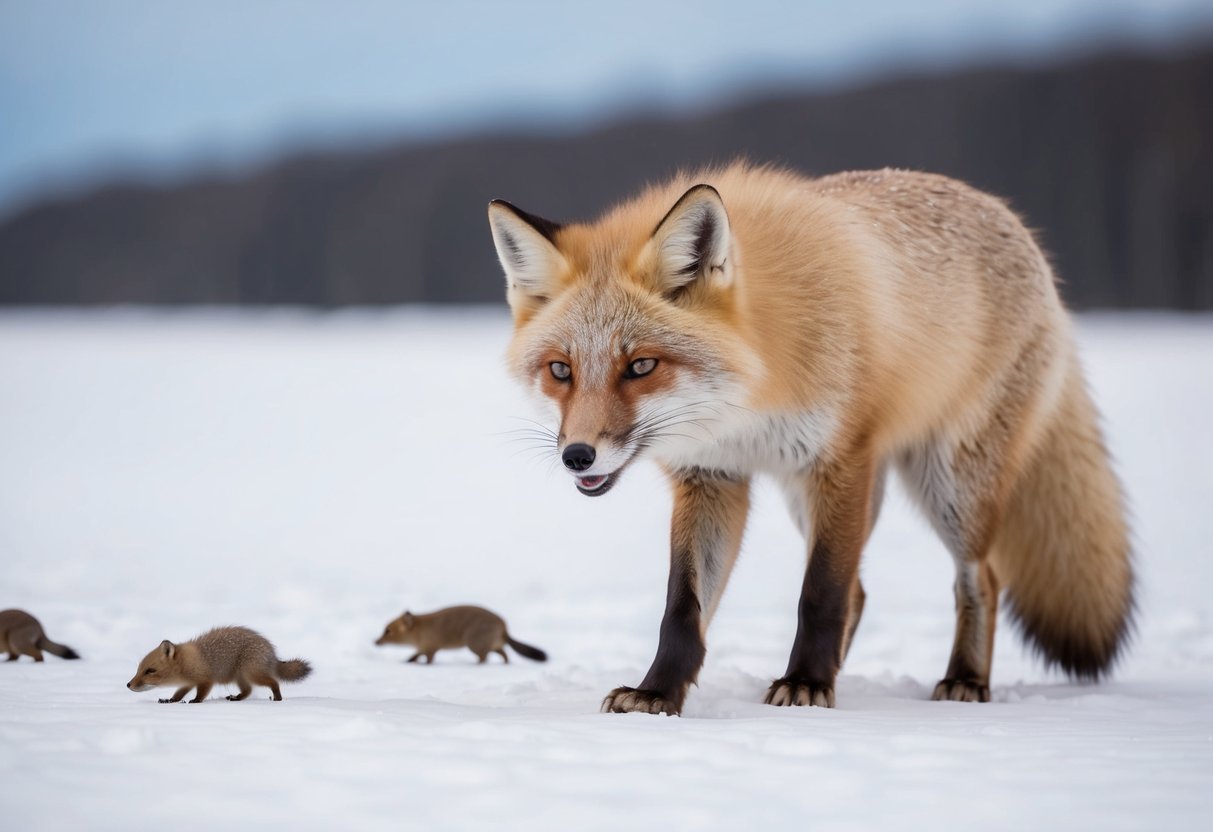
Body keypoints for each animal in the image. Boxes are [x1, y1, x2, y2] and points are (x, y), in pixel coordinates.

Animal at [127, 626, 311, 703]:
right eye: (139, 669)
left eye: (150, 671)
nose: (128, 685)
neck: (187, 662)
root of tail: (272, 653)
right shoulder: (188, 683)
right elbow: (178, 694)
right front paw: (170, 700)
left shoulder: (205, 680)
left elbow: (200, 695)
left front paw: (195, 701)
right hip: (241, 678)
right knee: (248, 691)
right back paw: (236, 698)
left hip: (252, 674)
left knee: (274, 682)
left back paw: (277, 699)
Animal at [375, 606, 548, 664]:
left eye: (387, 630)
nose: (376, 641)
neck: (419, 629)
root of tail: (503, 627)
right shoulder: (423, 647)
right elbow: (416, 654)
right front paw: (408, 661)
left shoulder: (430, 646)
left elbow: (427, 657)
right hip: (492, 645)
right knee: (503, 653)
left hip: (475, 643)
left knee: (484, 657)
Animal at [488, 162, 1134, 716]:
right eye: (562, 370)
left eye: (641, 366)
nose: (577, 456)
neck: (744, 406)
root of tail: (1012, 222)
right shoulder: (712, 477)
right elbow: (683, 610)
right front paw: (658, 693)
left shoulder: (842, 460)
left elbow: (820, 593)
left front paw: (806, 684)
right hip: (819, 494)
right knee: (864, 592)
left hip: (949, 484)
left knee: (980, 578)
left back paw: (963, 679)